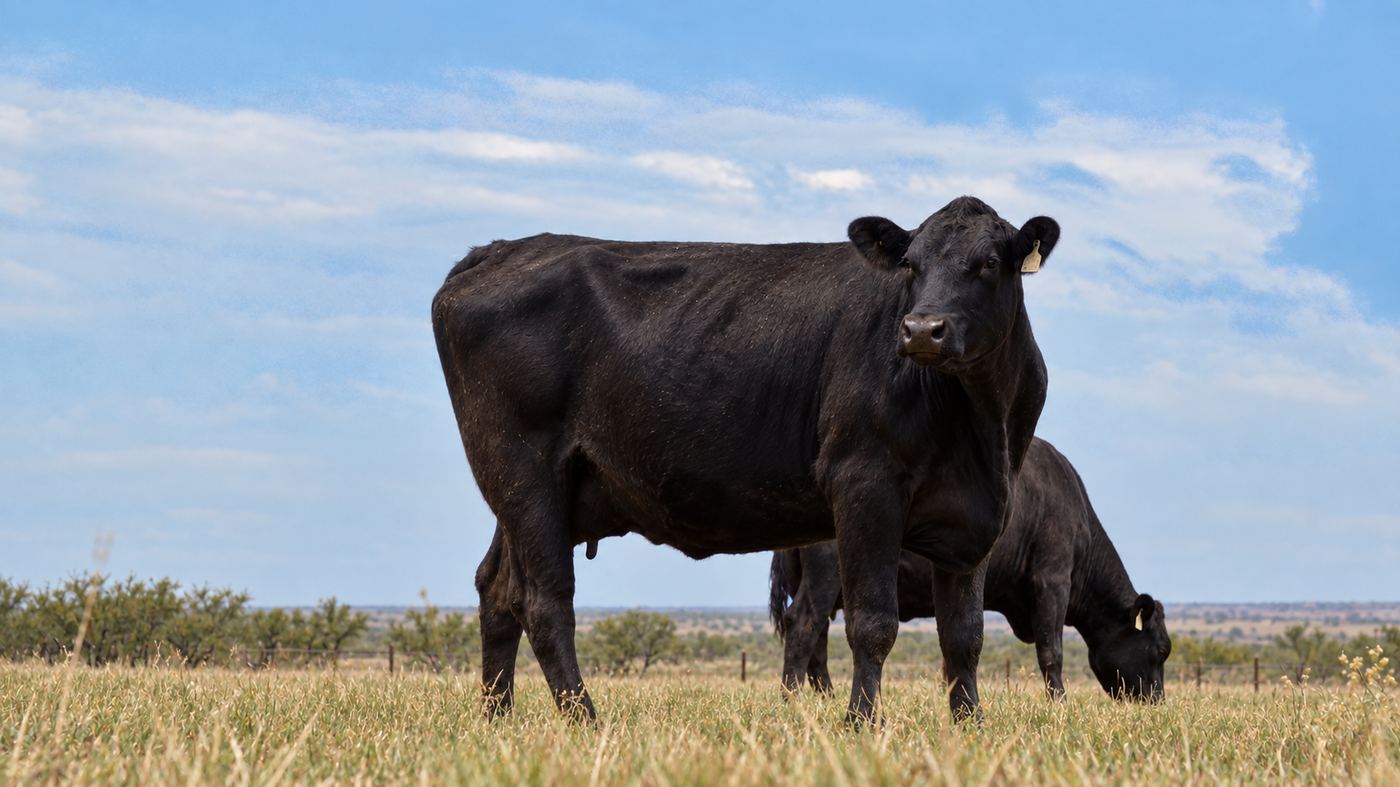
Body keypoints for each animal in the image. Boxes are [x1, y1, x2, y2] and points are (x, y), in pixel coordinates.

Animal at [431, 196, 1060, 724]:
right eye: (910, 264)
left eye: (987, 264)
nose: (922, 329)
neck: (978, 422)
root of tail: (498, 251)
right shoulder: (865, 483)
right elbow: (872, 622)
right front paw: (861, 724)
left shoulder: (975, 516)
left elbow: (965, 635)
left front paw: (970, 726)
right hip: (522, 468)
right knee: (544, 600)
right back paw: (583, 720)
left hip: (539, 491)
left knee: (498, 590)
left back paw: (497, 717)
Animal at [771, 437, 1172, 702]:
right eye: (1158, 651)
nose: (1156, 702)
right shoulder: (1053, 580)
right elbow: (1051, 651)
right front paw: (1059, 703)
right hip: (826, 572)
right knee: (803, 623)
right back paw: (792, 698)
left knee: (818, 638)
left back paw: (825, 697)